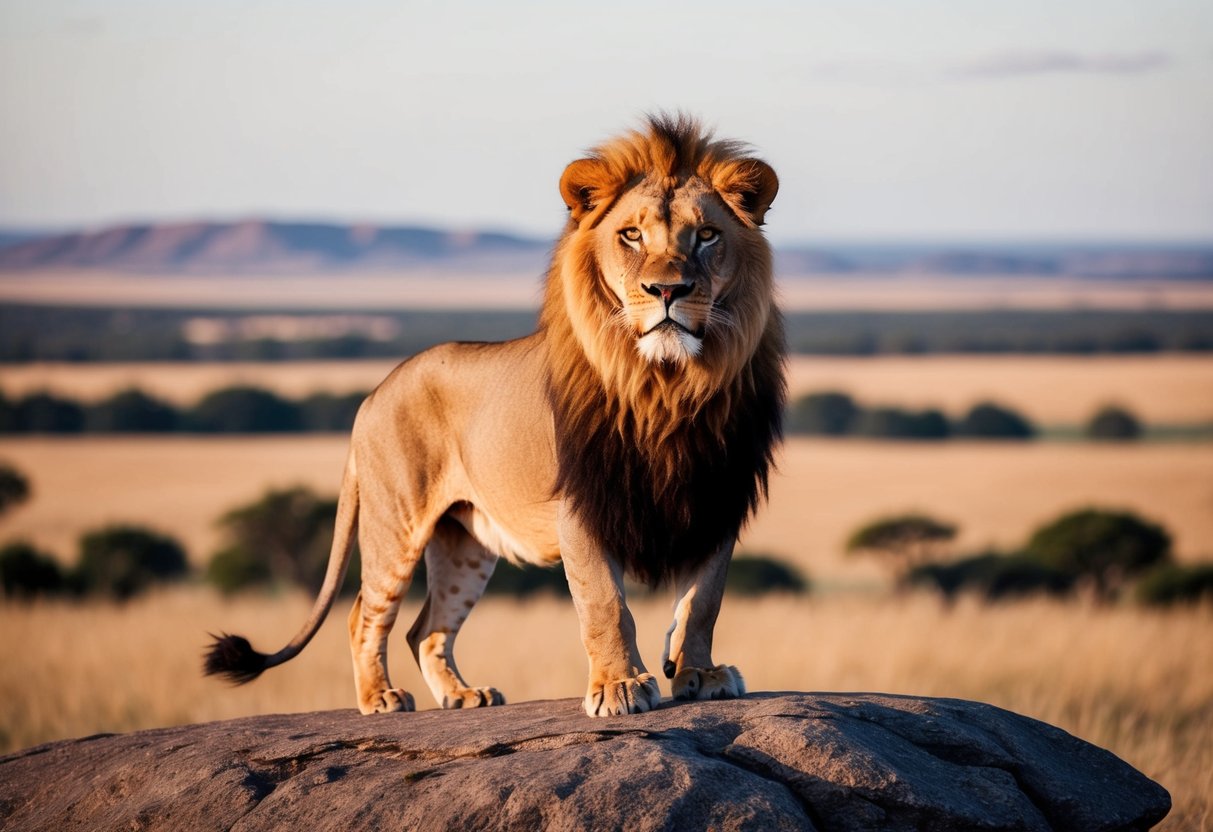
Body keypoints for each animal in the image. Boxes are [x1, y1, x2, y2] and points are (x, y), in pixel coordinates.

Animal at [204, 114, 786, 717]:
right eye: (631, 235)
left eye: (707, 235)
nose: (668, 289)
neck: (667, 384)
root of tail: (375, 391)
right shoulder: (582, 504)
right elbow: (604, 602)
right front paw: (619, 686)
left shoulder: (717, 496)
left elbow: (702, 603)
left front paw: (698, 673)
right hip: (395, 524)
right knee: (362, 615)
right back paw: (380, 697)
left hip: (464, 544)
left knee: (426, 630)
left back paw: (465, 695)